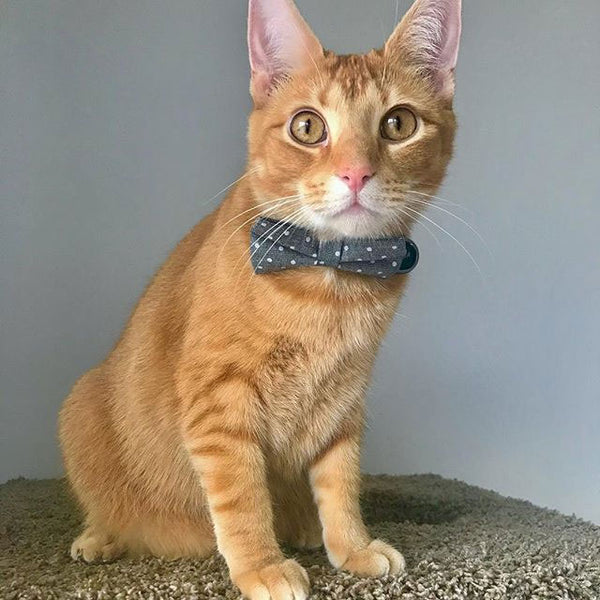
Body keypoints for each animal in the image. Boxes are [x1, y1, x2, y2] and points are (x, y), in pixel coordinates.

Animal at [58, 1, 462, 600]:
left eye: (398, 123)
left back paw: (304, 528)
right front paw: (260, 566)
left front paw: (352, 547)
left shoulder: (344, 401)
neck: (331, 280)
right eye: (307, 126)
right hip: (80, 405)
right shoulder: (220, 405)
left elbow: (341, 484)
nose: (356, 173)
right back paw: (102, 538)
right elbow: (243, 497)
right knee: (109, 511)